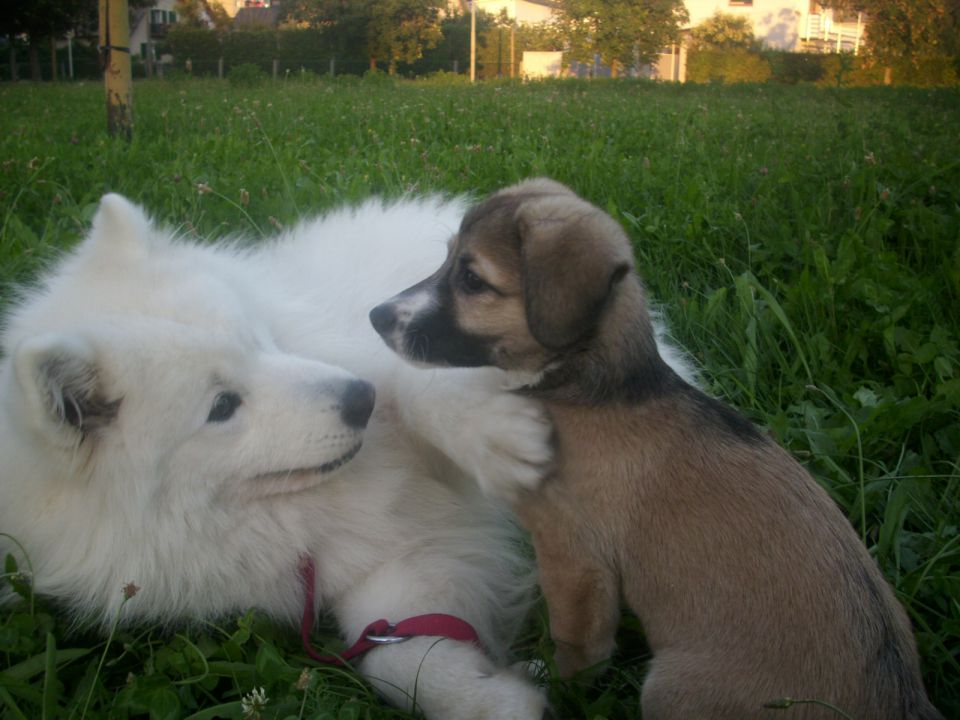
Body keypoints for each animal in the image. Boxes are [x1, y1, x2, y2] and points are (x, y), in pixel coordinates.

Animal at [0, 194, 556, 716]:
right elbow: (398, 657)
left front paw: (499, 434)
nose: (363, 399)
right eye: (222, 406)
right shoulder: (379, 568)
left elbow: (420, 388)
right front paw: (494, 699)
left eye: (258, 339)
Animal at [372, 180, 940, 720]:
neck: (598, 388)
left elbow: (578, 647)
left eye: (471, 280)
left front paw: (555, 683)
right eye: (446, 259)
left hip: (667, 686)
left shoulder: (573, 555)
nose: (376, 316)